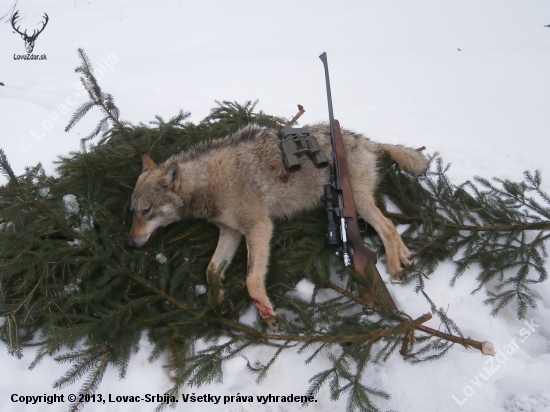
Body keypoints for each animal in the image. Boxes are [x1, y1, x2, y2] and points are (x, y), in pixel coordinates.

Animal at [127, 124, 430, 330]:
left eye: (146, 211)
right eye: (133, 212)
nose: (130, 243)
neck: (209, 182)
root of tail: (365, 140)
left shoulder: (259, 227)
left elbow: (251, 279)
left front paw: (269, 316)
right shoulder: (230, 231)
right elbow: (211, 271)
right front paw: (221, 300)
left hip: (357, 204)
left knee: (387, 225)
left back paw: (393, 266)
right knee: (389, 226)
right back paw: (404, 258)